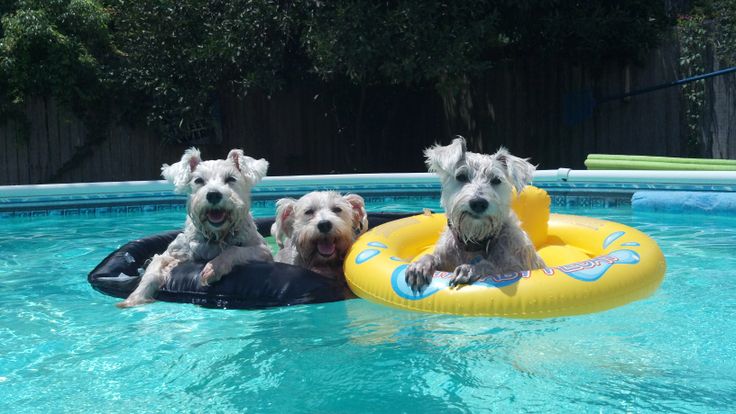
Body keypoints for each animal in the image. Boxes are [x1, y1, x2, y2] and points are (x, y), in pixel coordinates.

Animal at [118, 146, 274, 308]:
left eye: (231, 179)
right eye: (199, 180)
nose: (213, 195)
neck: (216, 235)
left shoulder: (263, 251)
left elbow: (234, 249)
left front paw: (213, 268)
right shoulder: (171, 253)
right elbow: (152, 271)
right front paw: (134, 298)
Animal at [402, 137, 548, 292]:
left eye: (496, 180)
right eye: (461, 176)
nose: (478, 203)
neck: (474, 241)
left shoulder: (515, 266)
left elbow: (492, 266)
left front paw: (469, 269)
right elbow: (431, 256)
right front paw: (419, 266)